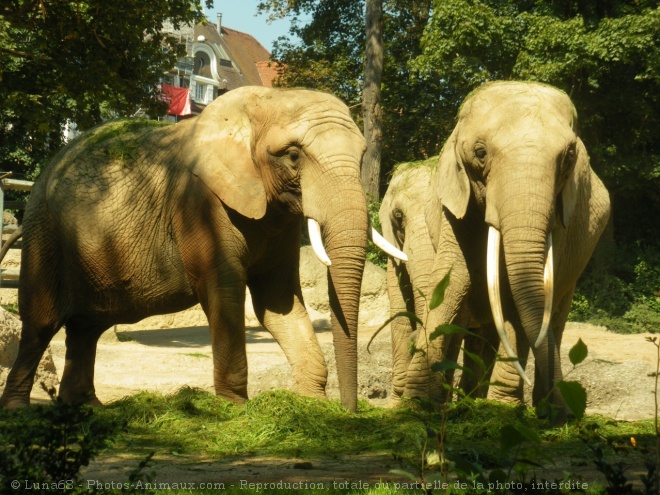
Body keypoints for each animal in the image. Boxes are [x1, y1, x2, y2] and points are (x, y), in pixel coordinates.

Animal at [0, 87, 404, 412]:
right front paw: (234, 410)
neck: (263, 100)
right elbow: (224, 290)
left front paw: (311, 405)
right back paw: (20, 410)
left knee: (87, 327)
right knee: (42, 323)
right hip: (43, 228)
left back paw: (86, 408)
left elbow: (278, 301)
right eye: (292, 156)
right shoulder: (198, 203)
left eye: (362, 155)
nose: (351, 412)